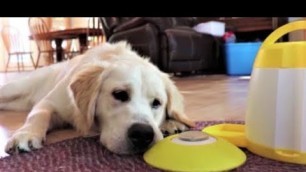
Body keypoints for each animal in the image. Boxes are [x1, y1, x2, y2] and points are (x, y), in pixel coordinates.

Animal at [0, 41, 195, 155]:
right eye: (119, 94)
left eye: (157, 103)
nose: (143, 134)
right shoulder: (50, 102)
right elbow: (39, 114)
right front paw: (26, 134)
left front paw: (171, 123)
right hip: (15, 88)